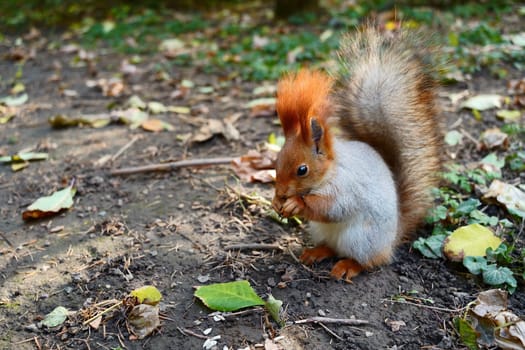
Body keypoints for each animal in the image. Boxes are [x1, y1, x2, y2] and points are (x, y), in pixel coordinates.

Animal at [272, 26, 440, 282]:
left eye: (302, 170)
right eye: (276, 161)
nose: (281, 192)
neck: (331, 171)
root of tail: (391, 240)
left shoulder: (348, 187)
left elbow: (332, 208)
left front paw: (296, 203)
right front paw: (275, 202)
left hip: (362, 239)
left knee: (368, 260)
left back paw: (348, 266)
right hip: (322, 231)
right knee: (332, 247)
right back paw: (316, 252)